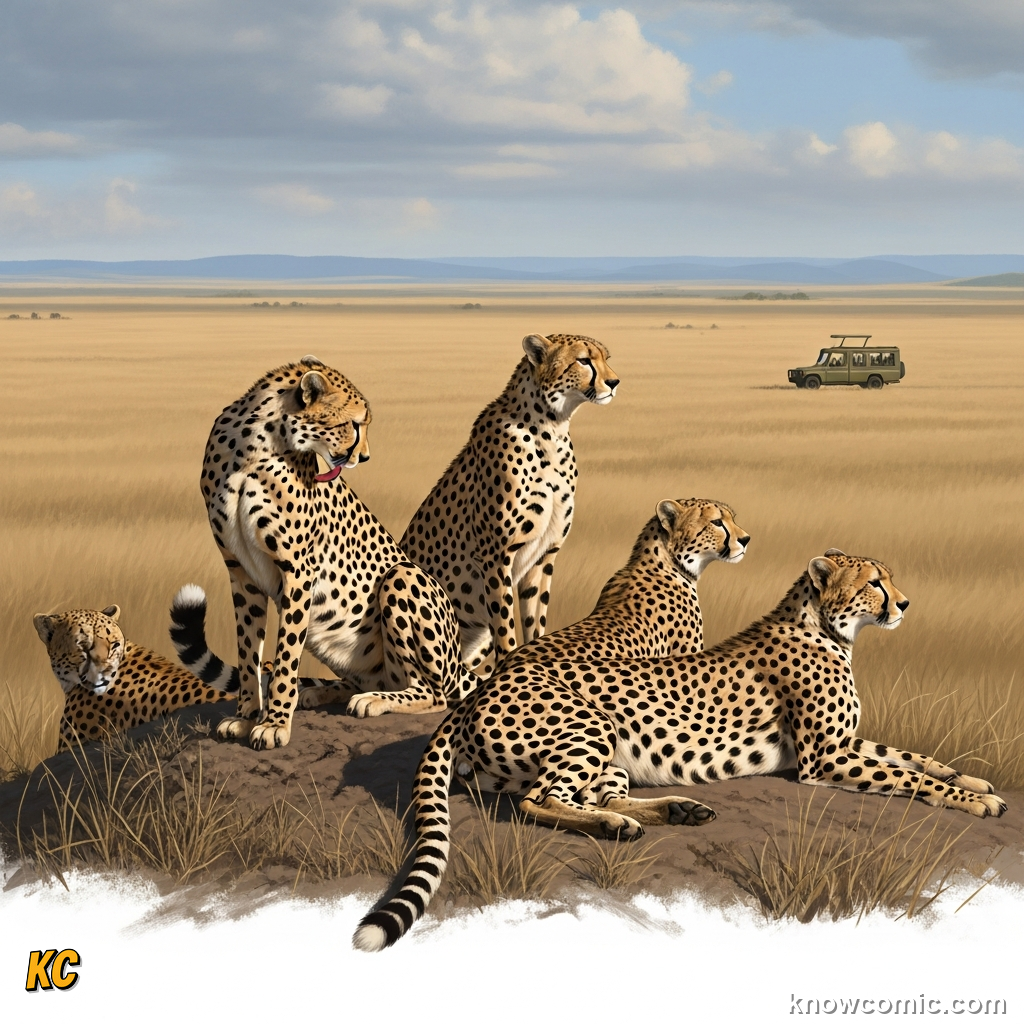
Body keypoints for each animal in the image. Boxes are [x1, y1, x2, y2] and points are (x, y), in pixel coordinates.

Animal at [201, 355, 478, 750]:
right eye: (354, 423)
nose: (365, 457)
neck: (256, 447)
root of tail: (458, 662)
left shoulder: (297, 570)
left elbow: (285, 656)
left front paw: (274, 724)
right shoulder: (240, 572)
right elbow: (248, 649)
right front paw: (246, 717)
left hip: (402, 577)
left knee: (436, 693)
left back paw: (372, 700)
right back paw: (324, 692)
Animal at [354, 549, 1004, 951]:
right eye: (874, 582)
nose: (905, 603)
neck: (826, 628)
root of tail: (481, 690)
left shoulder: (845, 743)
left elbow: (915, 758)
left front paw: (972, 781)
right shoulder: (825, 758)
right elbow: (910, 778)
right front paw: (973, 801)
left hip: (609, 756)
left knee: (594, 794)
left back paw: (673, 810)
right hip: (588, 728)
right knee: (537, 800)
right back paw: (618, 826)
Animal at [401, 332, 619, 676]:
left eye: (606, 358)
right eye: (584, 360)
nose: (614, 381)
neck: (551, 429)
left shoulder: (543, 556)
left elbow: (534, 621)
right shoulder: (496, 555)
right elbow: (505, 627)